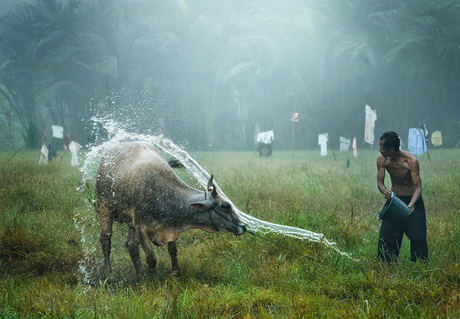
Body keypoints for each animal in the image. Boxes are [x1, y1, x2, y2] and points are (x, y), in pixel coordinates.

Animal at [95, 142, 246, 282]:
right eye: (225, 206)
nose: (243, 226)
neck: (163, 194)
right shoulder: (141, 227)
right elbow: (151, 258)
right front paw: (154, 283)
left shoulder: (170, 225)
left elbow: (172, 250)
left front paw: (177, 275)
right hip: (104, 208)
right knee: (105, 240)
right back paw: (109, 272)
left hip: (130, 223)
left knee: (131, 245)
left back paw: (141, 276)